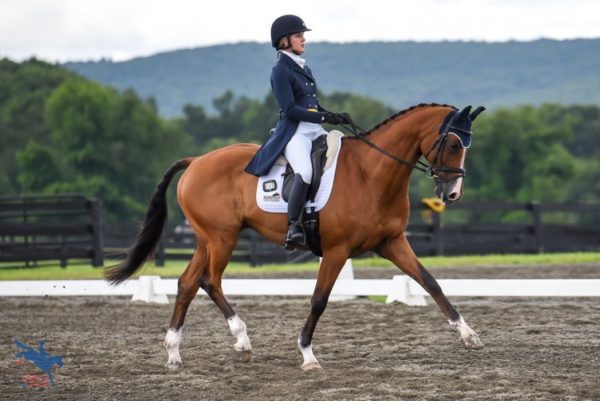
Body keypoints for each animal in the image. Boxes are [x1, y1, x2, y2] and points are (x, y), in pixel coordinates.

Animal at [105, 102, 486, 368]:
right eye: (454, 144)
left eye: (467, 145)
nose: (452, 194)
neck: (370, 174)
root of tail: (196, 160)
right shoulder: (336, 250)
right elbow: (319, 300)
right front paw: (307, 355)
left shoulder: (392, 243)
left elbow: (430, 282)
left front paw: (468, 335)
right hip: (222, 238)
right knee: (209, 280)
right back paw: (241, 340)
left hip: (206, 239)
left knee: (188, 282)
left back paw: (175, 353)